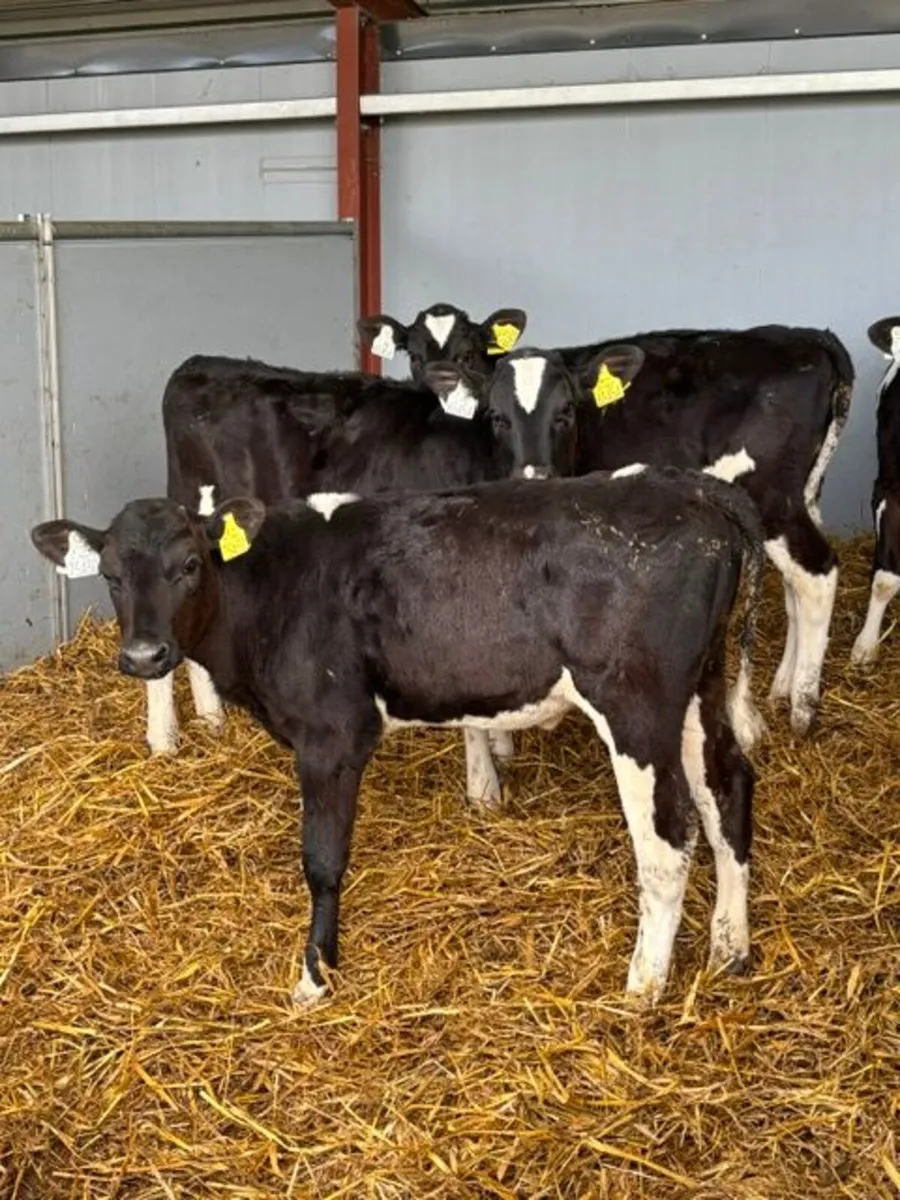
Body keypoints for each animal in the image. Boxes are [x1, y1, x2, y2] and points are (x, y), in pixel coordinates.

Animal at [30, 465, 765, 1005]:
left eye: (189, 564)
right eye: (111, 574)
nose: (144, 655)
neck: (273, 591)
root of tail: (689, 486)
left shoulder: (332, 736)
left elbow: (323, 861)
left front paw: (314, 978)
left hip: (636, 706)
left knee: (668, 838)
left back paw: (642, 986)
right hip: (699, 687)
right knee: (728, 787)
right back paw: (729, 945)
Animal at [95, 346, 638, 807]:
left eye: (566, 413)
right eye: (497, 417)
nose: (534, 481)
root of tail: (201, 364)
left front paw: (502, 743)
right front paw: (484, 788)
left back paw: (211, 718)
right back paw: (164, 739)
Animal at [417, 327, 855, 739]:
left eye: (566, 411)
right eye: (496, 417)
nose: (533, 478)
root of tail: (808, 336)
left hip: (772, 499)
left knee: (817, 572)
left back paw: (803, 706)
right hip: (801, 496)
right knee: (795, 581)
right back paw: (782, 685)